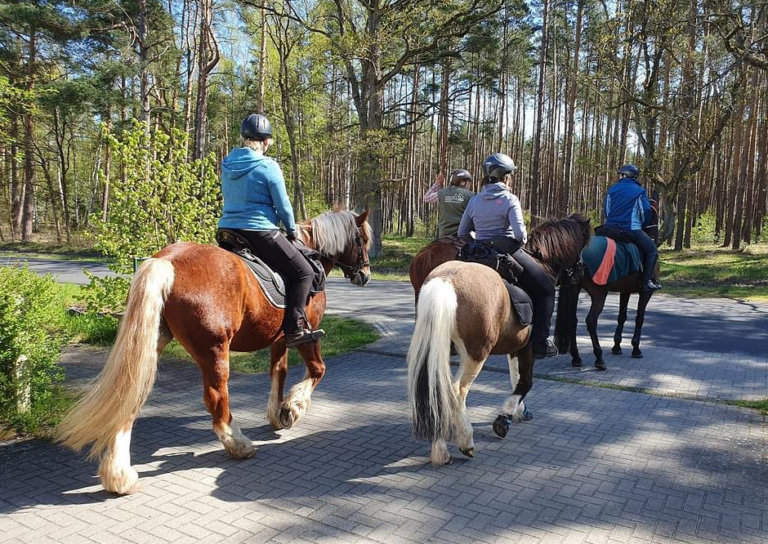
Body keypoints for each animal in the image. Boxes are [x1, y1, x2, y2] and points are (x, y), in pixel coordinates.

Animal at [57, 208, 372, 492]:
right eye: (363, 240)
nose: (366, 275)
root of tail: (167, 260)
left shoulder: (280, 339)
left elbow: (278, 372)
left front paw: (277, 414)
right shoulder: (306, 334)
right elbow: (317, 370)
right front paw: (293, 409)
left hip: (150, 345)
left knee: (131, 395)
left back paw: (118, 475)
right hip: (214, 349)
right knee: (216, 398)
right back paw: (238, 444)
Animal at [404, 215, 592, 466]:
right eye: (583, 244)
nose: (581, 272)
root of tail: (446, 280)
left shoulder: (516, 346)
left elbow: (515, 378)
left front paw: (519, 411)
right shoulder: (529, 347)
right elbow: (525, 382)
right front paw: (504, 418)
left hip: (439, 348)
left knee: (440, 389)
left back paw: (441, 449)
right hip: (476, 355)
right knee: (456, 390)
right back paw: (466, 441)